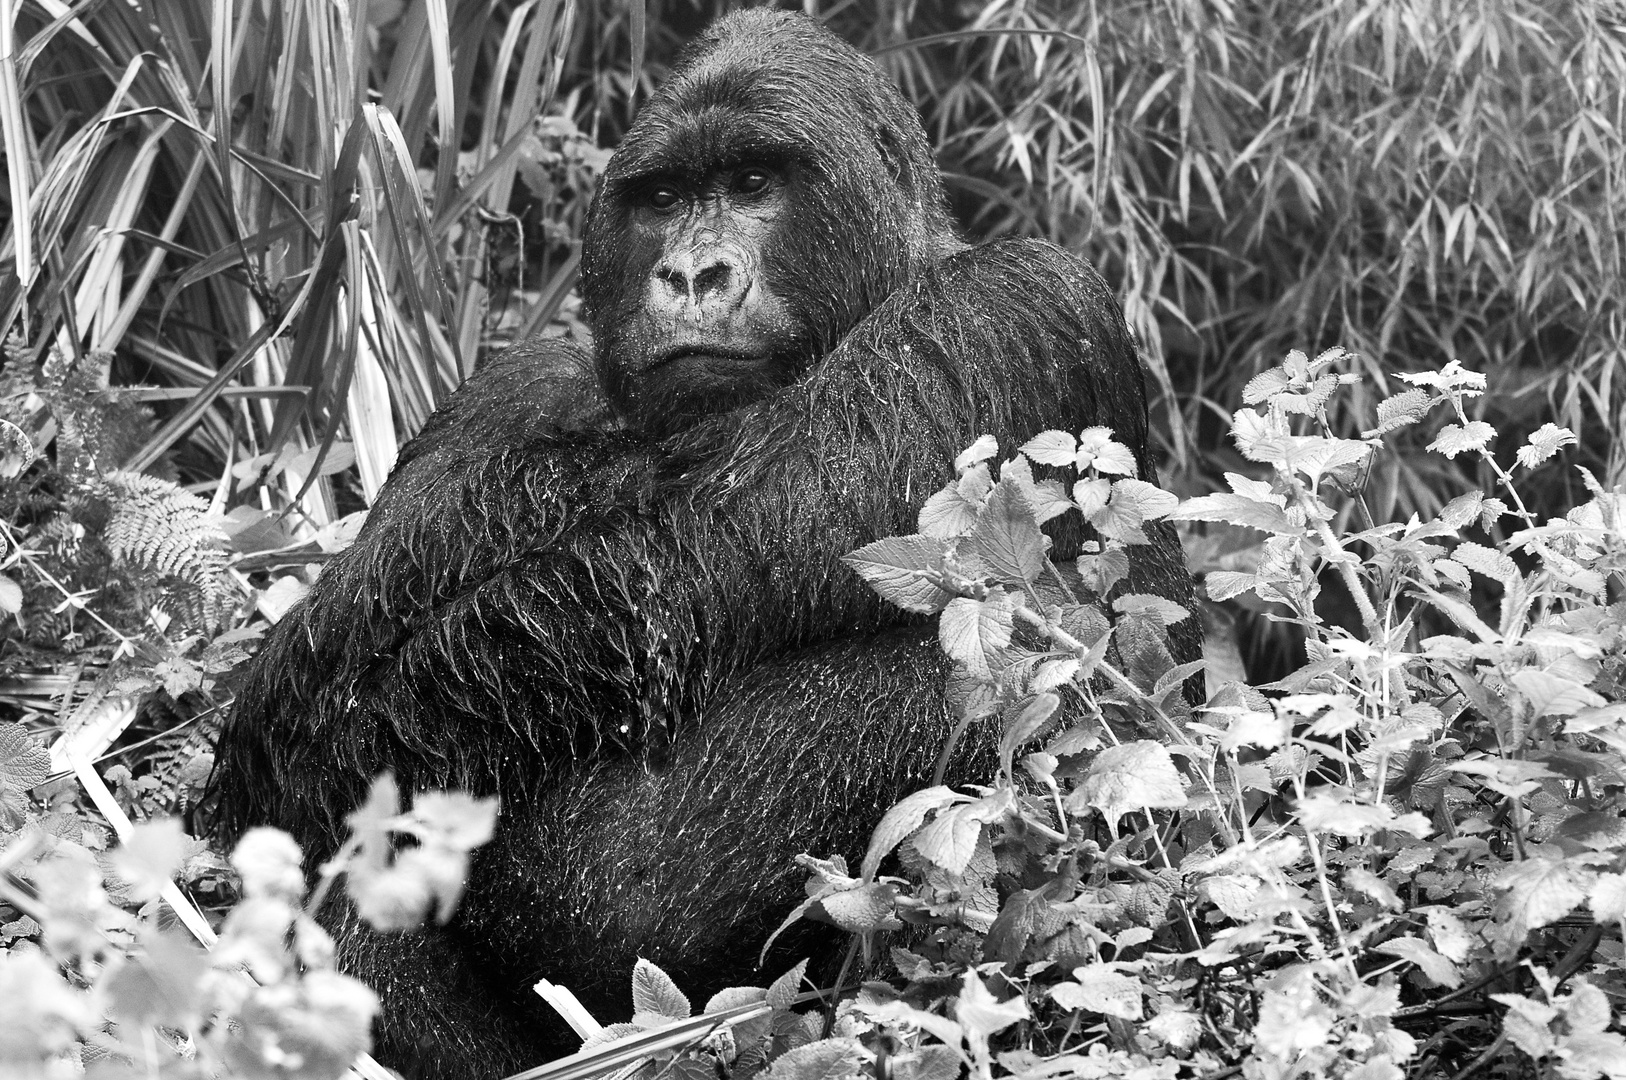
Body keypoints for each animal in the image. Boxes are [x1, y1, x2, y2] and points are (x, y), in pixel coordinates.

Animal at [209, 10, 1203, 1080]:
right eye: (664, 199)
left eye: (756, 184)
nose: (691, 274)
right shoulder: (509, 383)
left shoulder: (1013, 303)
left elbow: (688, 555)